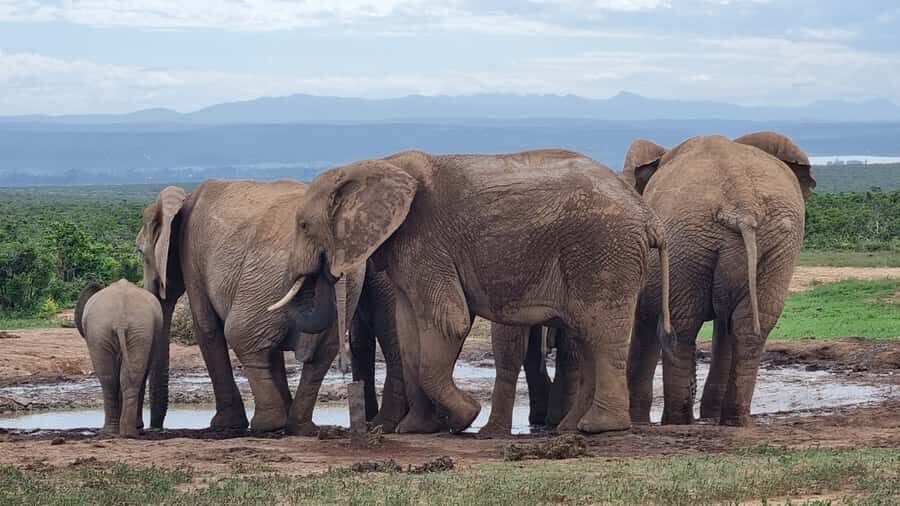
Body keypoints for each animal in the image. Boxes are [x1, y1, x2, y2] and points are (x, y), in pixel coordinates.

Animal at [74, 279, 167, 437]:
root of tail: (120, 321)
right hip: (123, 330)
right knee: (118, 377)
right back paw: (125, 432)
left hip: (115, 330)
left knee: (110, 378)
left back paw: (116, 432)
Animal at [137, 181, 407, 434]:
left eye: (140, 252)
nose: (154, 428)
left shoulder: (192, 257)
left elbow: (207, 328)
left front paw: (225, 424)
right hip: (336, 282)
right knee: (322, 352)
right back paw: (300, 427)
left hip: (267, 274)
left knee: (239, 333)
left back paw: (268, 424)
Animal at [268, 149, 672, 434]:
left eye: (303, 225)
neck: (376, 165)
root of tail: (648, 214)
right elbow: (409, 331)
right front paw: (416, 430)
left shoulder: (427, 242)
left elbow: (448, 321)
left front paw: (464, 419)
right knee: (585, 335)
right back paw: (570, 428)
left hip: (603, 248)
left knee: (600, 330)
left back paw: (598, 427)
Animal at [622, 132, 815, 427]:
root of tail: (742, 203)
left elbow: (645, 315)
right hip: (773, 243)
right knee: (749, 325)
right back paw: (733, 420)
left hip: (685, 238)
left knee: (681, 327)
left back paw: (677, 421)